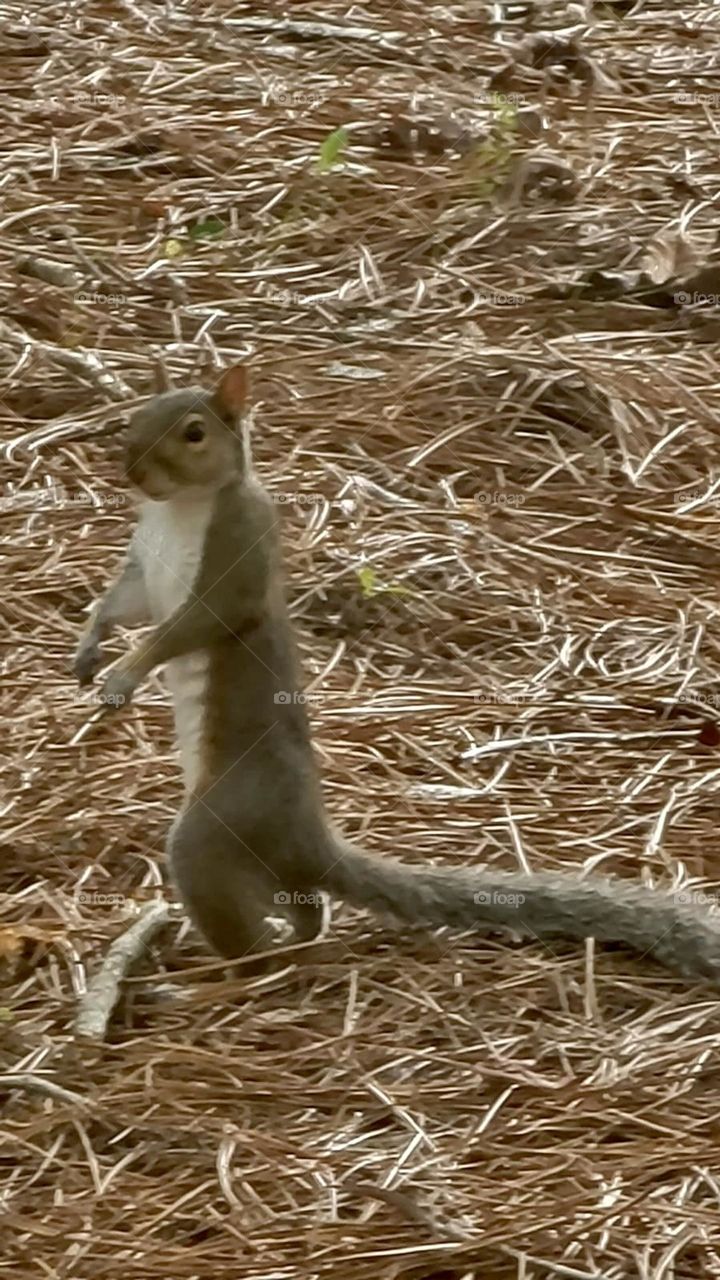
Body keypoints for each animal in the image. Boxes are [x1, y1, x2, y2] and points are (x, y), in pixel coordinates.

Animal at [73, 364, 720, 984]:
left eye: (194, 433)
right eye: (135, 415)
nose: (132, 470)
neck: (177, 509)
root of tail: (310, 841)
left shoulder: (236, 558)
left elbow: (192, 624)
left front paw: (124, 674)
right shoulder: (142, 568)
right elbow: (120, 606)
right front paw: (89, 650)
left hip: (215, 831)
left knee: (253, 941)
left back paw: (214, 978)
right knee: (305, 907)